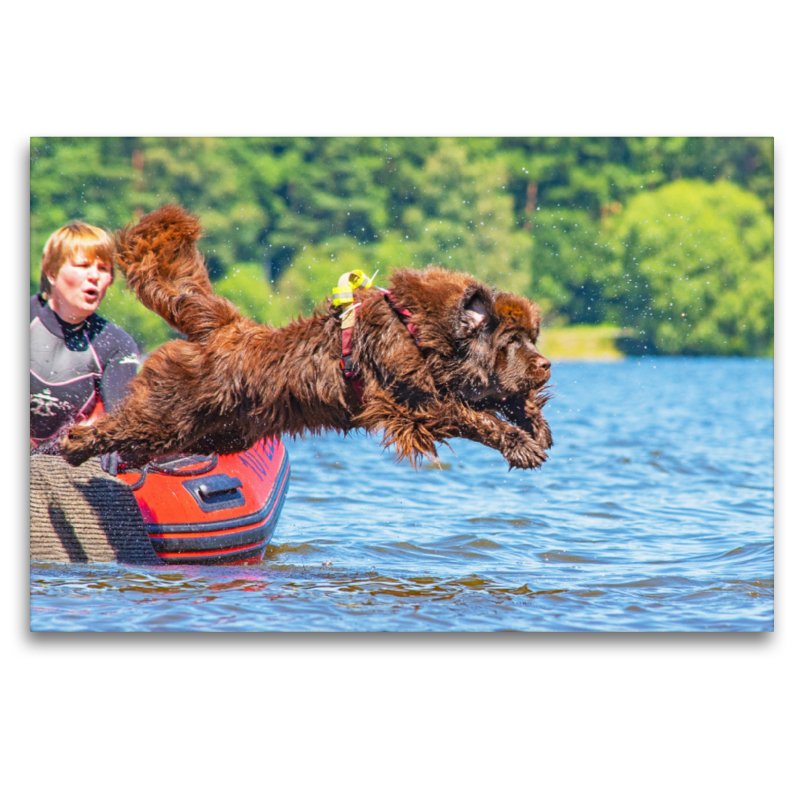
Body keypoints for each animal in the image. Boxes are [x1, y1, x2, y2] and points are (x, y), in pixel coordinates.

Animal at [59, 205, 552, 468]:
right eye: (512, 342)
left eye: (534, 338)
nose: (547, 364)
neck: (421, 331)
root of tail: (227, 328)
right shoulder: (412, 401)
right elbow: (471, 416)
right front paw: (520, 443)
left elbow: (499, 398)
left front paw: (536, 426)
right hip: (170, 408)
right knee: (123, 425)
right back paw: (75, 445)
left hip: (218, 431)